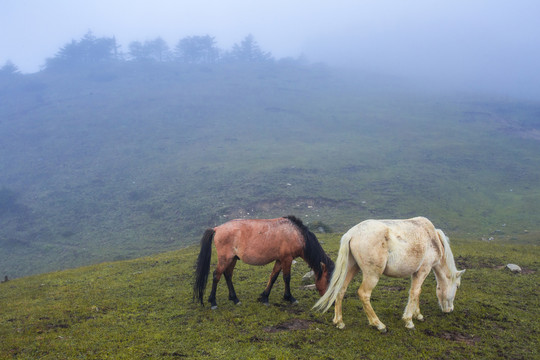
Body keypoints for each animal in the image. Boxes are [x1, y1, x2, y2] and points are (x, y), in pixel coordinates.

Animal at [190, 215, 334, 308]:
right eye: (328, 279)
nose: (330, 302)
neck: (295, 233)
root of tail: (217, 228)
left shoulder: (280, 260)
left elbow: (273, 277)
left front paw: (264, 297)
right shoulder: (287, 259)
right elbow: (286, 278)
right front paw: (290, 298)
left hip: (232, 259)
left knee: (227, 275)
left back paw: (235, 299)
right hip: (225, 259)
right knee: (217, 275)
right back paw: (213, 302)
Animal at [314, 217, 466, 332]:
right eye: (457, 286)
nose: (450, 310)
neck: (432, 238)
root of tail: (352, 233)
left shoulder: (416, 273)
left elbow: (417, 292)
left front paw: (418, 315)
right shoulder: (424, 269)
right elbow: (415, 292)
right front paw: (409, 321)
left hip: (352, 268)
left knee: (341, 290)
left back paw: (339, 322)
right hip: (372, 275)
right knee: (364, 294)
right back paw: (378, 324)